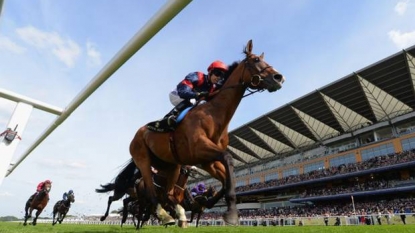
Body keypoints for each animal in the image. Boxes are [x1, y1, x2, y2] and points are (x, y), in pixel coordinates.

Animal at [130, 39, 286, 225]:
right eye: (255, 60)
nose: (279, 78)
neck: (214, 114)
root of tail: (138, 133)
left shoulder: (208, 161)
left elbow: (227, 180)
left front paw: (221, 206)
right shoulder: (200, 149)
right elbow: (228, 158)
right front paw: (231, 214)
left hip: (171, 166)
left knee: (167, 193)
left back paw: (173, 214)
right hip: (143, 160)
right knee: (152, 192)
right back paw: (164, 215)